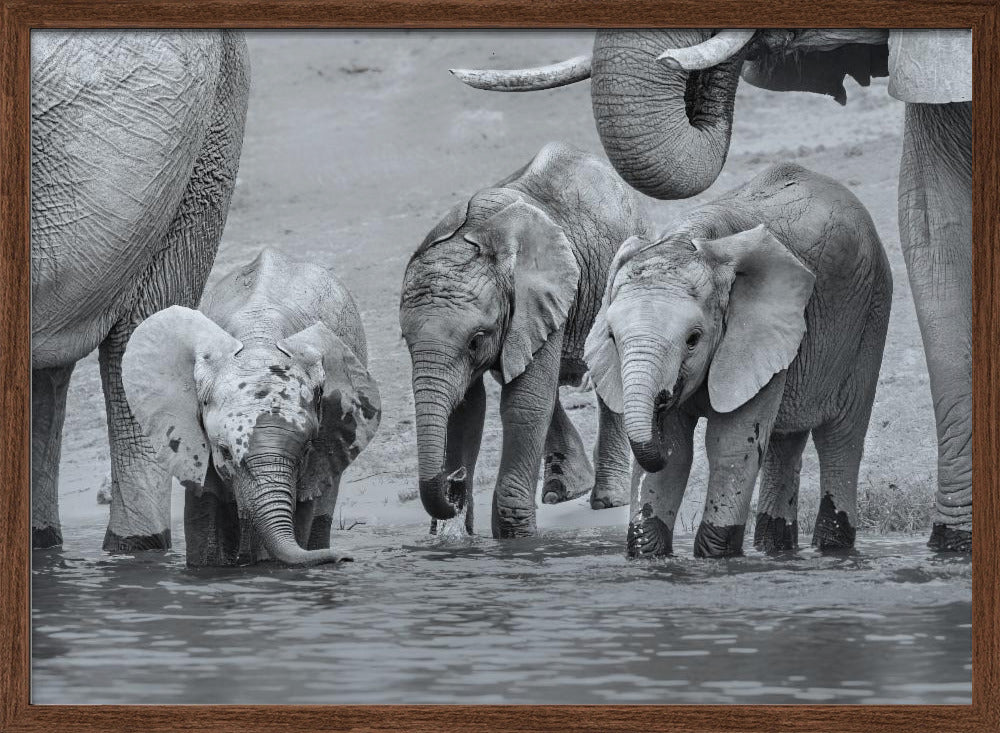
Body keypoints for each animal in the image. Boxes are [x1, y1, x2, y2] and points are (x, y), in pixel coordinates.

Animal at [399, 142, 651, 538]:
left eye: (476, 340)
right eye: (405, 341)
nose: (455, 481)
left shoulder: (540, 297)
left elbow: (523, 404)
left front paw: (516, 538)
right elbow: (468, 408)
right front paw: (457, 533)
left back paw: (608, 500)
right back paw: (564, 490)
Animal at [585, 163, 892, 558]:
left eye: (693, 340)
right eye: (611, 338)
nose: (662, 401)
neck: (689, 241)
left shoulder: (755, 333)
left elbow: (730, 444)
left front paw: (717, 557)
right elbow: (677, 453)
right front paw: (649, 555)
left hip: (871, 311)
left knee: (840, 437)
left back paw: (832, 550)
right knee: (784, 442)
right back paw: (775, 551)